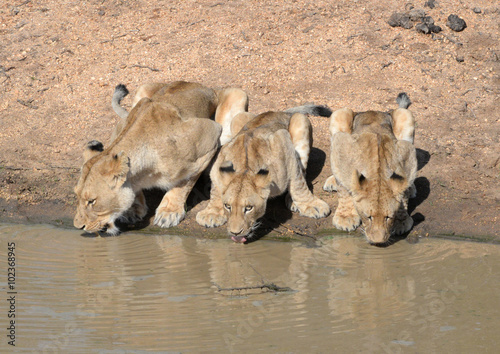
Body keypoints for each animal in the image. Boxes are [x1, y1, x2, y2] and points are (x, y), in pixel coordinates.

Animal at [72, 81, 248, 235]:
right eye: (77, 196)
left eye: (91, 201)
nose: (78, 226)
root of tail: (206, 87)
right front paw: (133, 208)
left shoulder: (209, 136)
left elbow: (183, 183)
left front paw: (168, 212)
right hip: (143, 89)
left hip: (237, 97)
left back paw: (212, 214)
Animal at [195, 106, 332, 242]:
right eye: (228, 206)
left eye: (248, 208)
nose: (235, 232)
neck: (245, 168)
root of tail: (279, 112)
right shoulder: (221, 155)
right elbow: (215, 189)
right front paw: (211, 213)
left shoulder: (283, 140)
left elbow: (298, 181)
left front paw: (312, 205)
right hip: (238, 118)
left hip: (301, 120)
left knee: (302, 169)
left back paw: (293, 201)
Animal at [322, 92, 416, 245]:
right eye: (368, 217)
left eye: (388, 217)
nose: (378, 242)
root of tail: (373, 111)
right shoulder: (341, 151)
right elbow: (344, 189)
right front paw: (345, 217)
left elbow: (403, 191)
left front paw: (401, 220)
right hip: (339, 114)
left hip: (405, 115)